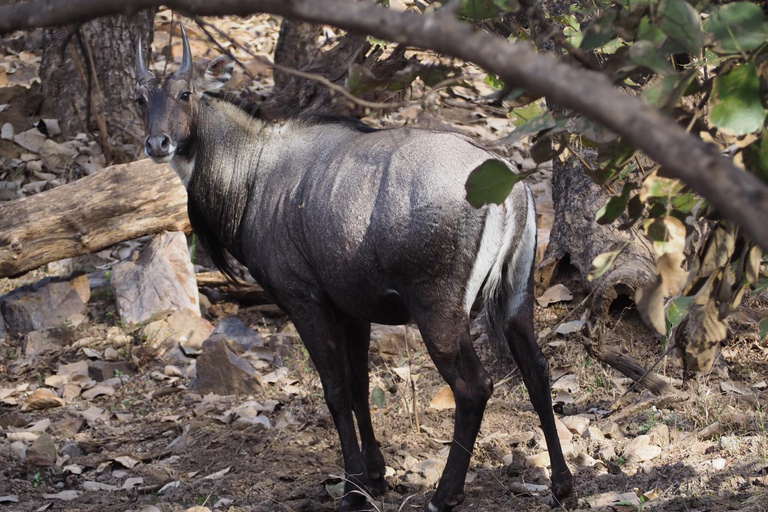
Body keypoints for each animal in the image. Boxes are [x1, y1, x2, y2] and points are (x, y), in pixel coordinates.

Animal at [135, 26, 572, 512]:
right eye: (141, 99)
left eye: (185, 93)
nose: (158, 144)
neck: (254, 172)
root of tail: (512, 190)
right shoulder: (353, 311)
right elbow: (361, 388)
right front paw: (376, 477)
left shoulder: (305, 302)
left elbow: (337, 392)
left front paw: (353, 489)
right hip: (516, 297)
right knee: (537, 370)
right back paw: (562, 485)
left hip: (439, 312)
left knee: (474, 386)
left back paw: (444, 494)